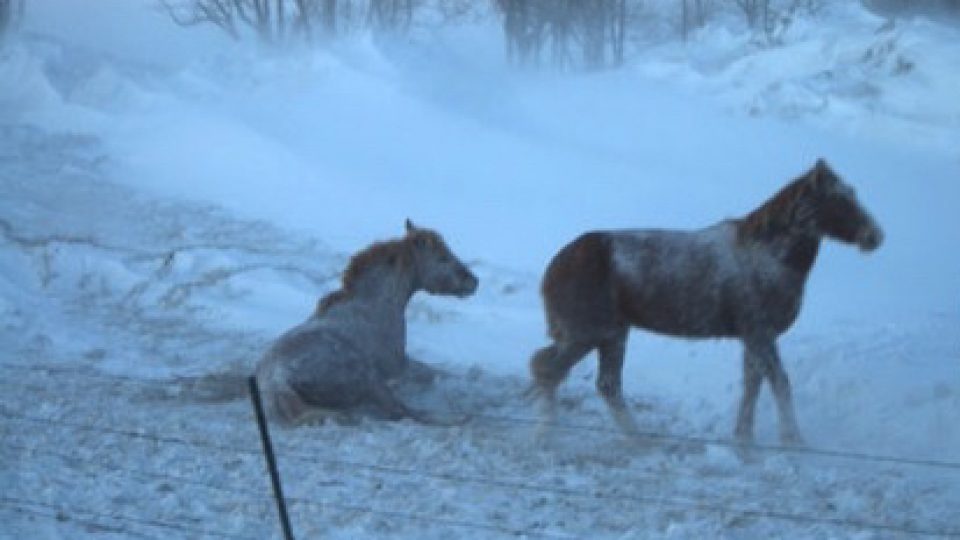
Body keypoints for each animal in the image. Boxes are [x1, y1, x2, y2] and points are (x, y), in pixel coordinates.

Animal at [255, 219, 478, 426]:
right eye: (443, 258)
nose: (474, 282)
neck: (375, 305)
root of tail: (277, 381)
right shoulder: (398, 366)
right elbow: (433, 373)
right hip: (370, 379)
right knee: (402, 412)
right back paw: (456, 417)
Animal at [529, 159, 883, 445]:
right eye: (837, 200)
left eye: (852, 193)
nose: (874, 236)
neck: (770, 258)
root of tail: (554, 268)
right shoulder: (760, 334)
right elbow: (779, 382)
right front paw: (793, 440)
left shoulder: (753, 338)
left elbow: (753, 384)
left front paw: (744, 438)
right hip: (589, 335)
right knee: (550, 371)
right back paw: (548, 434)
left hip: (612, 335)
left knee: (602, 384)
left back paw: (636, 439)